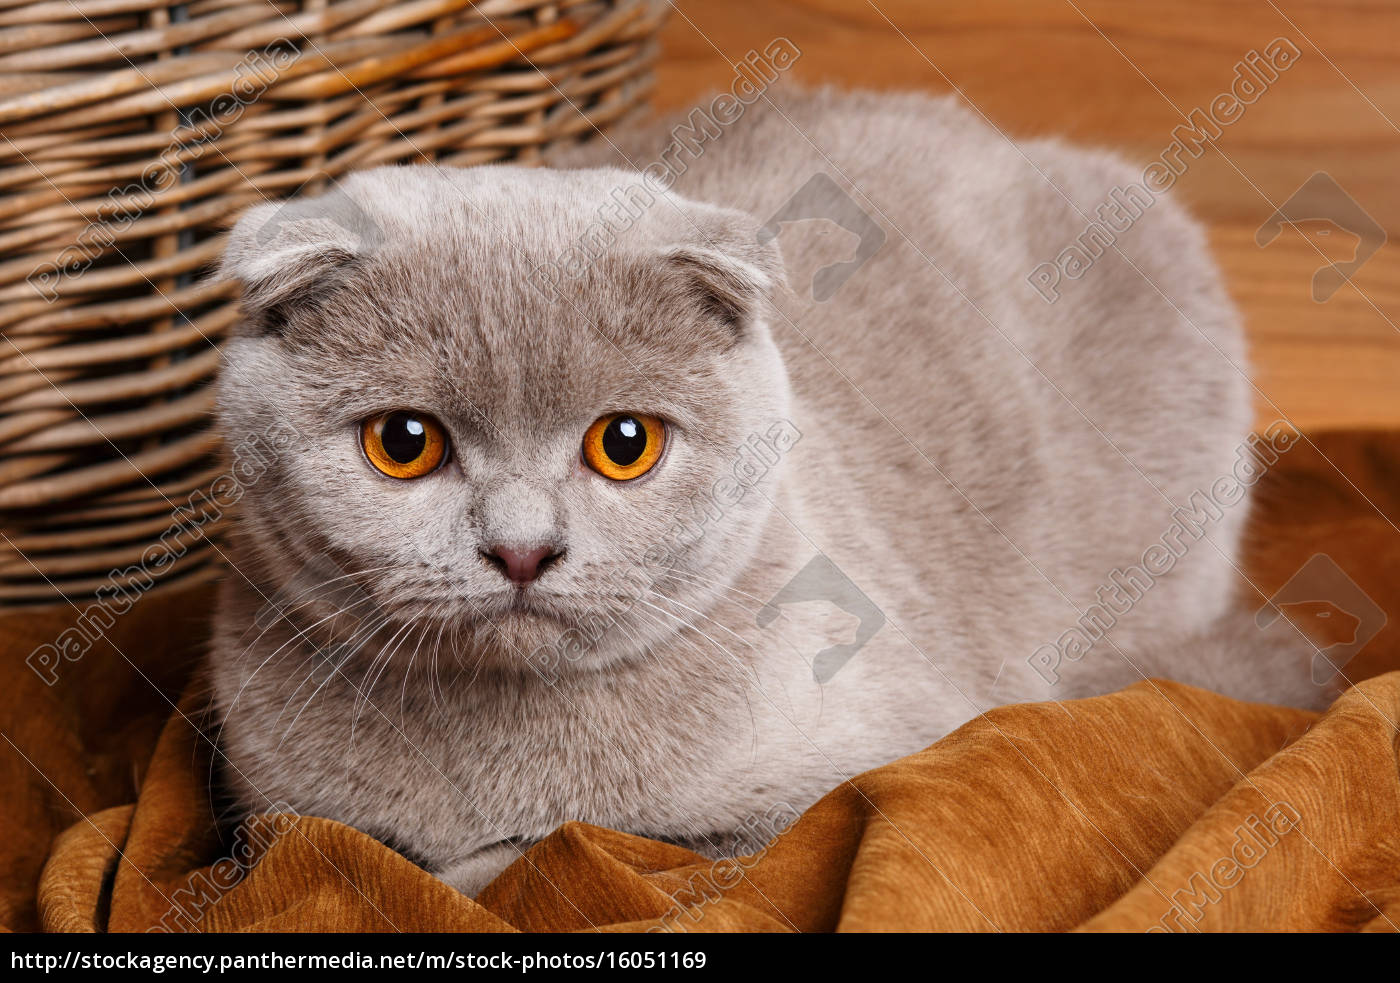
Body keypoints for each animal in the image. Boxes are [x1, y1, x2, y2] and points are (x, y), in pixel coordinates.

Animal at [210, 88, 1332, 896]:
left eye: (624, 444)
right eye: (405, 443)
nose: (522, 546)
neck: (502, 748)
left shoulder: (874, 766)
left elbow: (563, 852)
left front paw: (493, 853)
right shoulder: (275, 812)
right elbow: (365, 848)